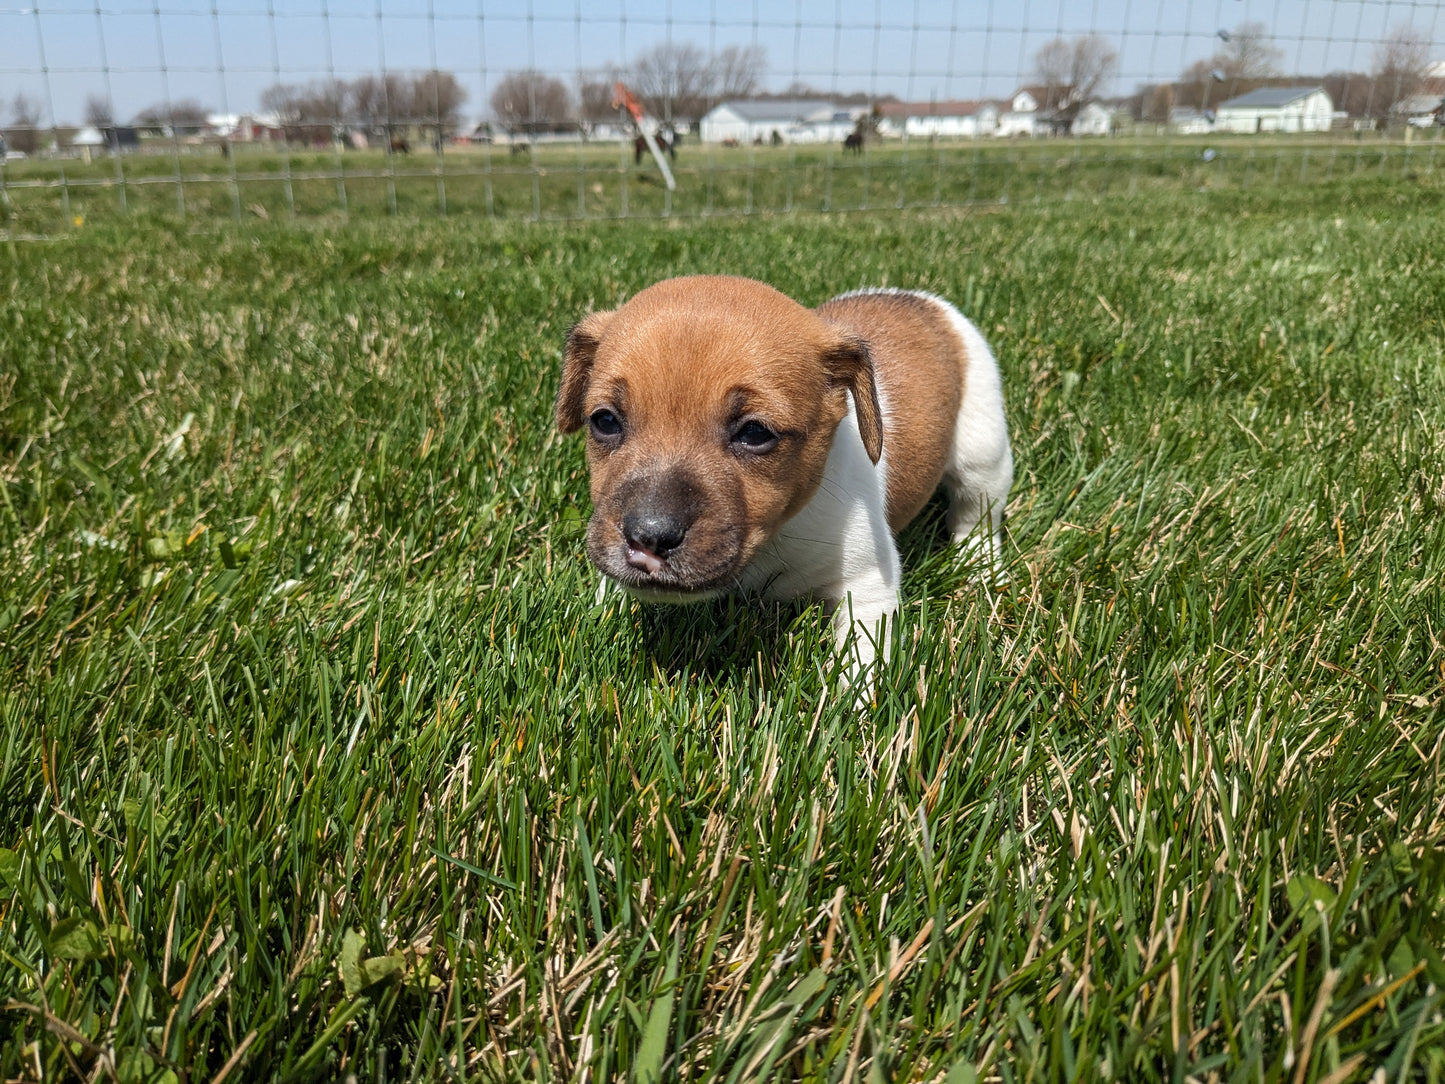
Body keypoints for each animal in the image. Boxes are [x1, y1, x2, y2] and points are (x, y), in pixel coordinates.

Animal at [554, 276, 1017, 676]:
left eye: (756, 433)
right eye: (605, 421)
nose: (648, 539)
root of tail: (920, 301)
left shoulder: (868, 584)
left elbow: (862, 660)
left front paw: (854, 708)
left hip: (983, 451)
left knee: (977, 515)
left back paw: (981, 568)